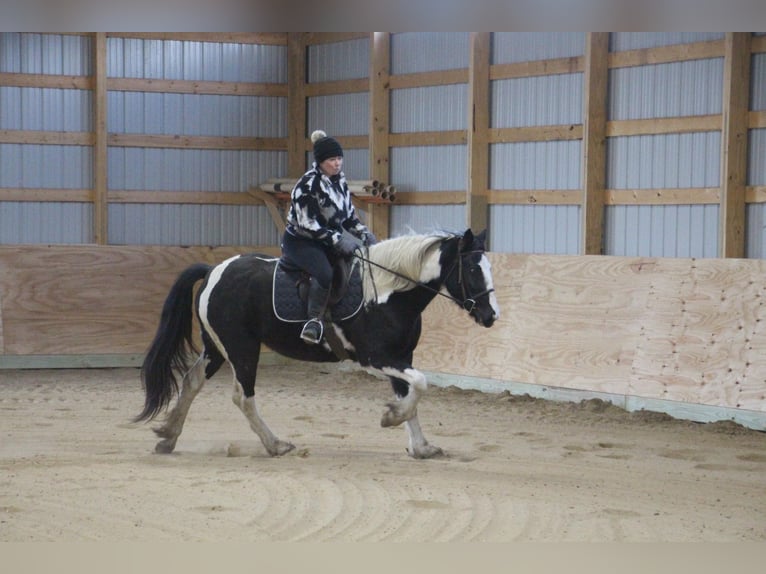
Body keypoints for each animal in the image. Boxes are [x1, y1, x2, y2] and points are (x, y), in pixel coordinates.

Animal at [135, 228, 500, 460]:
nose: (491, 315)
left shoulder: (401, 355)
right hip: (241, 348)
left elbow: (411, 393)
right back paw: (275, 445)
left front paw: (420, 446)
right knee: (243, 397)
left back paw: (168, 436)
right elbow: (421, 384)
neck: (388, 292)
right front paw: (391, 418)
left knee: (191, 381)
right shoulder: (376, 357)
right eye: (471, 268)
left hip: (216, 348)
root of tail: (214, 269)